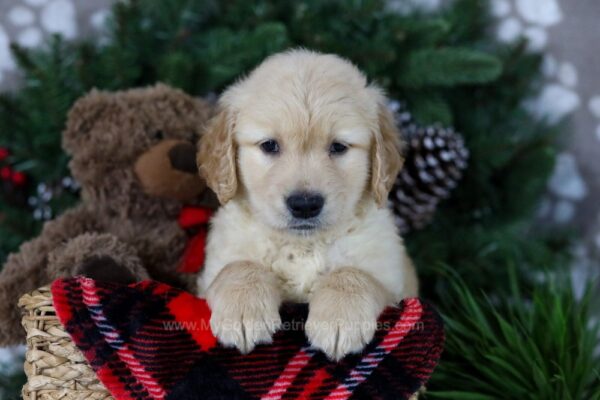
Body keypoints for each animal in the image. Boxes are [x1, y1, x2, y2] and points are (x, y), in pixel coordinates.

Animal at [197, 49, 418, 360]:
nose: (304, 205)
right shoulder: (210, 274)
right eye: (269, 145)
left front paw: (339, 319)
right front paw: (243, 312)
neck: (303, 246)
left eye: (338, 147)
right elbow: (238, 267)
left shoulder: (394, 281)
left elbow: (353, 274)